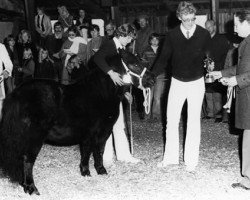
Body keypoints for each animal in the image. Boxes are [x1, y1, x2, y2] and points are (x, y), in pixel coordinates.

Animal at [0, 49, 154, 195]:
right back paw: (32, 188)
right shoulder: (100, 132)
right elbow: (95, 151)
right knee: (27, 160)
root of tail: (16, 94)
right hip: (33, 138)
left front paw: (92, 171)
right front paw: (95, 170)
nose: (151, 79)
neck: (101, 93)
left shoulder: (90, 135)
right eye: (134, 64)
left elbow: (92, 152)